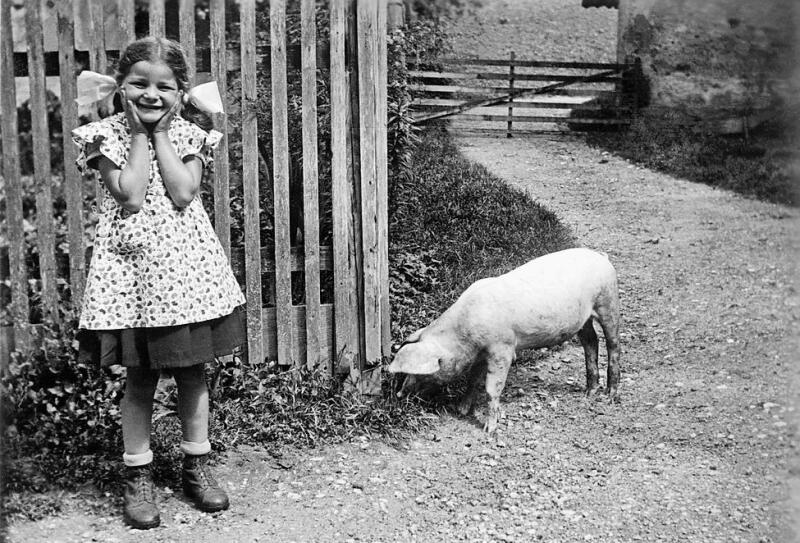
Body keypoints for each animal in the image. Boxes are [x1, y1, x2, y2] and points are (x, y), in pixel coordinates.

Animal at [390, 250, 620, 434]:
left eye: (423, 372)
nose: (400, 394)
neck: (466, 333)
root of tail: (600, 256)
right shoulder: (481, 352)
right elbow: (473, 380)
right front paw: (461, 410)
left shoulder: (502, 349)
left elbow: (492, 388)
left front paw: (489, 430)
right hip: (584, 320)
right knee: (591, 341)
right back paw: (590, 393)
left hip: (608, 301)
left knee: (613, 344)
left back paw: (610, 395)